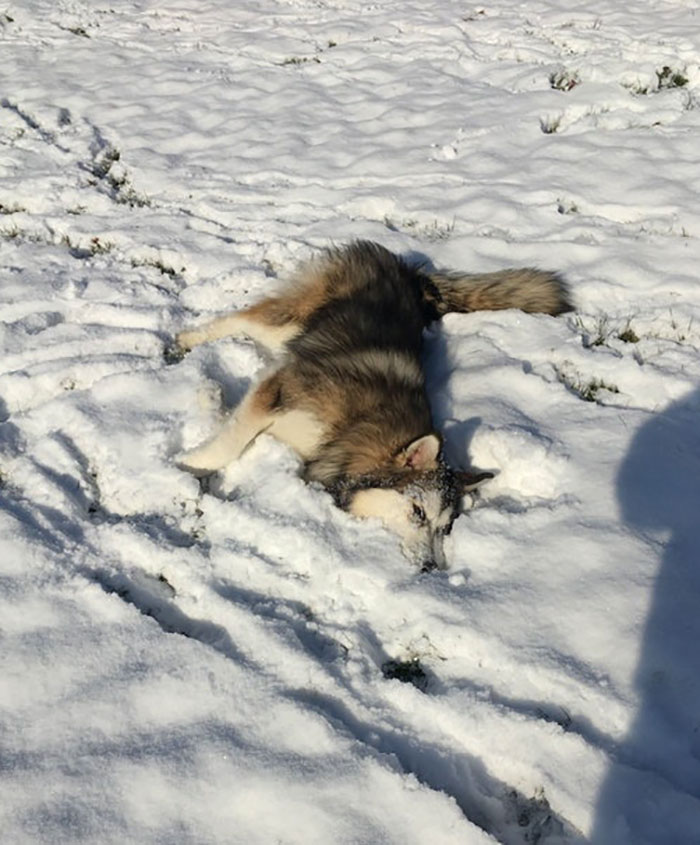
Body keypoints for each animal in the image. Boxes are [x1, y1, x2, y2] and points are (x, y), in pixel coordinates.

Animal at [176, 241, 568, 572]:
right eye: (417, 512)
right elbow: (229, 442)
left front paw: (209, 398)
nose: (431, 567)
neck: (355, 428)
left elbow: (235, 426)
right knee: (243, 319)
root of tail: (408, 272)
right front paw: (187, 467)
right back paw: (187, 338)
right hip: (292, 323)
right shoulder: (283, 386)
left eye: (445, 529)